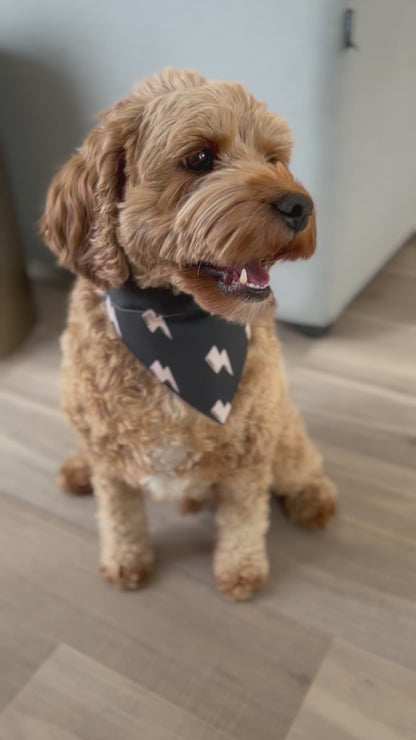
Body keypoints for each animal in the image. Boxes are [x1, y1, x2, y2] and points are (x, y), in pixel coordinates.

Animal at [41, 68, 334, 600]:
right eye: (199, 158)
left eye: (274, 159)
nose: (300, 204)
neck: (171, 321)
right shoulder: (112, 463)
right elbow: (119, 515)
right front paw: (125, 561)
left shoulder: (250, 452)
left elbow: (244, 519)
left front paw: (240, 571)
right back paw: (77, 468)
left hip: (282, 436)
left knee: (302, 460)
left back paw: (314, 499)